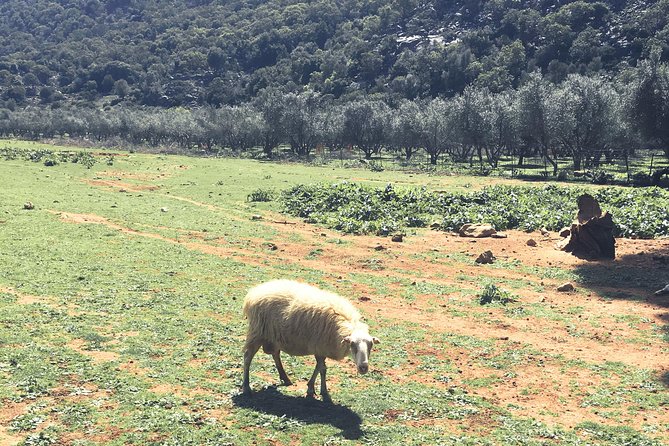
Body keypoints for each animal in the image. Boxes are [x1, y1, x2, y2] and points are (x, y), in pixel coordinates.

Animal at [241, 278, 378, 400]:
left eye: (371, 345)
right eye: (352, 344)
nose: (363, 367)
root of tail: (254, 292)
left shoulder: (321, 349)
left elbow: (320, 368)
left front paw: (314, 389)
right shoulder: (319, 347)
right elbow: (322, 369)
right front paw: (321, 392)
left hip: (274, 336)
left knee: (275, 354)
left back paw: (285, 378)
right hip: (257, 332)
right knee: (248, 357)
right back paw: (246, 387)